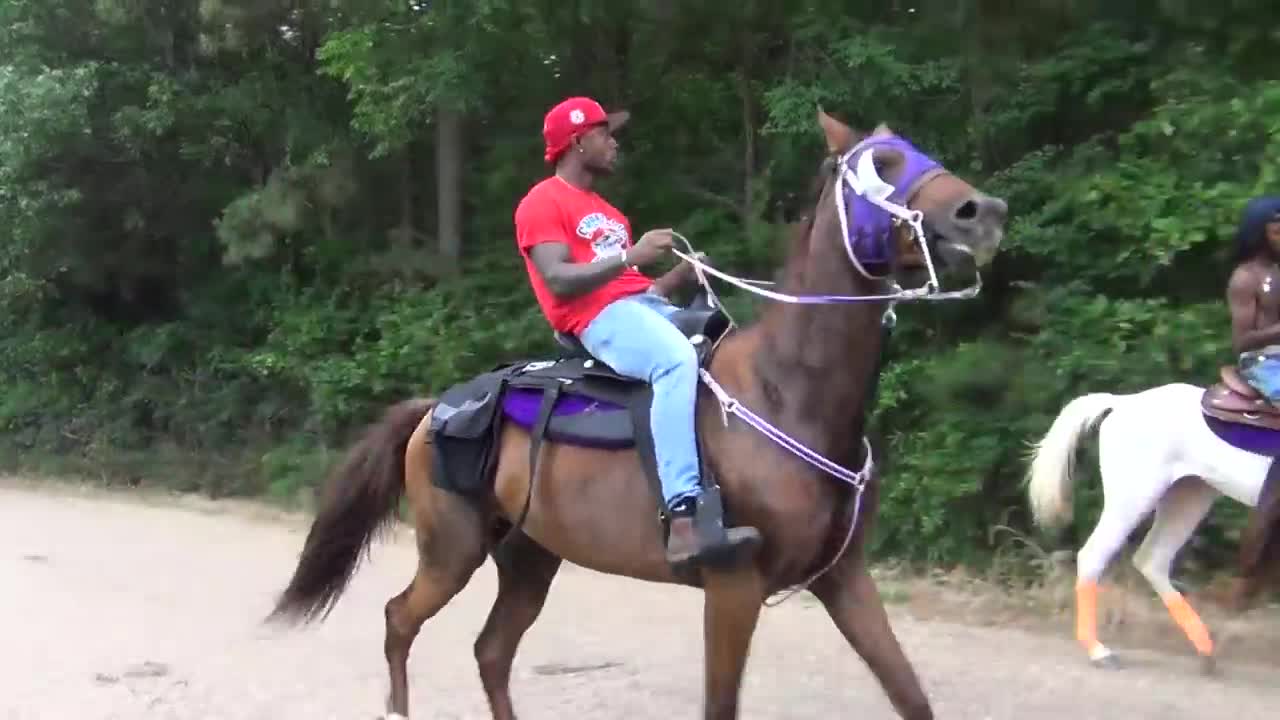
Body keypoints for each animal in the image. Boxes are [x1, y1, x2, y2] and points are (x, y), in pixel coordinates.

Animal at [267, 109, 1008, 712]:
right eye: (882, 166)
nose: (984, 211)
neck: (788, 391)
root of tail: (433, 410)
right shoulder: (733, 588)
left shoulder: (846, 579)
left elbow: (909, 694)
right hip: (452, 549)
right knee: (400, 620)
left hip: (529, 558)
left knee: (491, 651)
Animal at [1024, 381, 1274, 666]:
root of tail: (1123, 402)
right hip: (1134, 497)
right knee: (1094, 556)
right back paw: (1098, 651)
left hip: (1188, 498)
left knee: (1153, 561)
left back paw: (1204, 647)